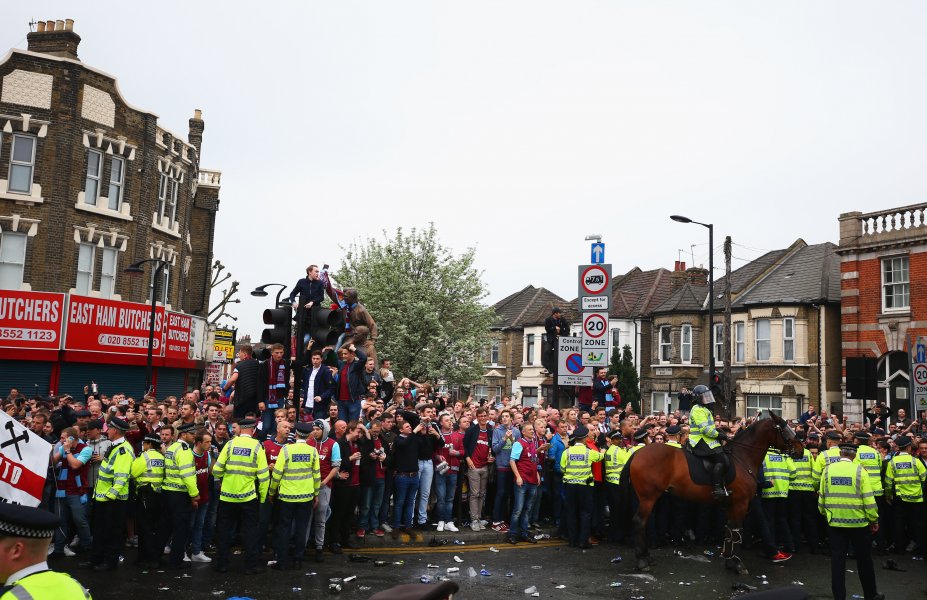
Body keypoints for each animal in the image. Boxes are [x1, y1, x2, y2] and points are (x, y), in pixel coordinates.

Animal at [620, 412, 808, 572]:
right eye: (783, 428)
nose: (801, 449)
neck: (742, 457)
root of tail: (637, 453)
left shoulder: (732, 504)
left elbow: (729, 530)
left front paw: (728, 559)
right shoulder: (740, 503)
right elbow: (736, 530)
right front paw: (735, 563)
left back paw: (647, 557)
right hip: (648, 497)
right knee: (639, 521)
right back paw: (642, 561)